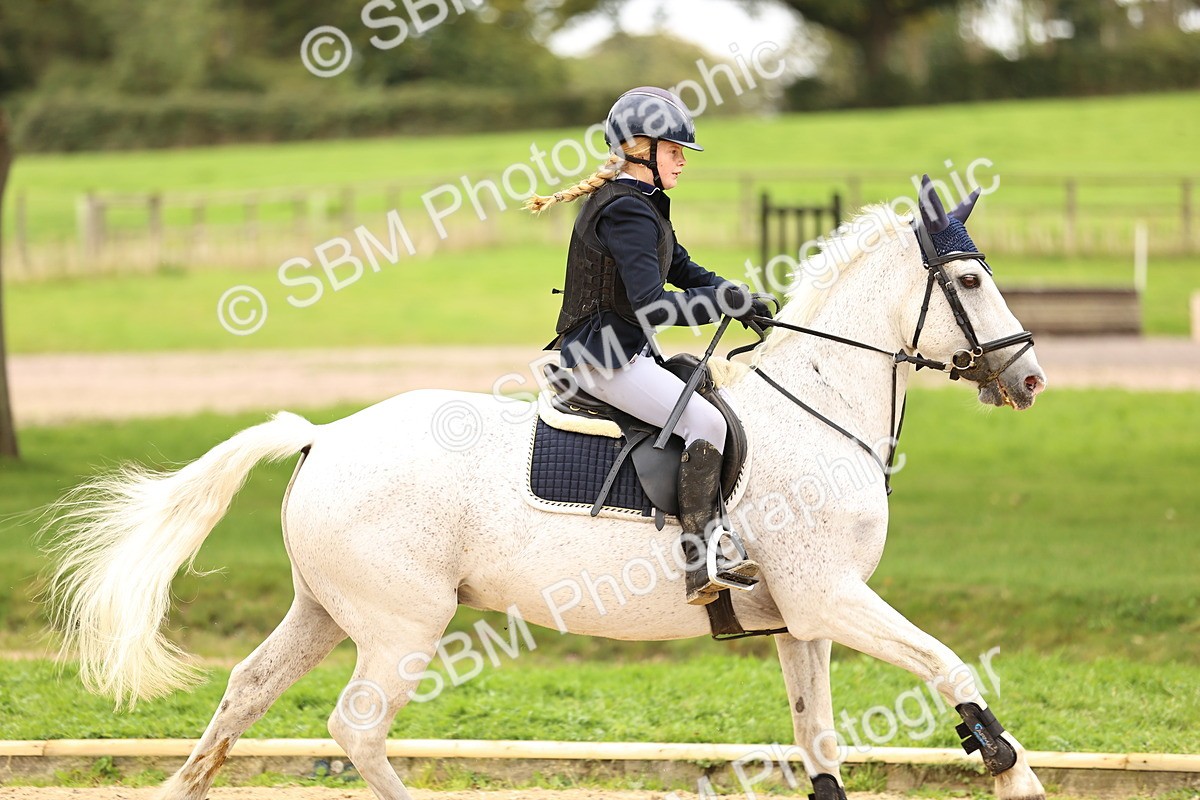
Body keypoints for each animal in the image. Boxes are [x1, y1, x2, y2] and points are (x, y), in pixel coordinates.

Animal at [44, 181, 1049, 800]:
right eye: (969, 279)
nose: (1032, 379)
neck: (821, 407)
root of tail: (323, 436)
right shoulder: (833, 596)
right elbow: (949, 665)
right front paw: (1011, 768)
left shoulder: (802, 618)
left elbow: (821, 742)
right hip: (405, 624)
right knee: (356, 728)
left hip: (325, 609)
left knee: (246, 693)